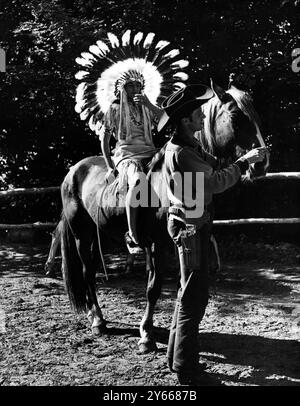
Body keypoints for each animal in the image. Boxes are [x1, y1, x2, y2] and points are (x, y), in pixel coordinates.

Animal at [59, 81, 268, 352]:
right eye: (234, 116)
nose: (261, 163)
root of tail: (73, 171)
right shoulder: (159, 243)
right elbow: (153, 288)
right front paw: (146, 334)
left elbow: (182, 284)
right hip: (81, 235)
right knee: (87, 273)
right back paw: (98, 321)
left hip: (97, 234)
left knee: (92, 271)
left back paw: (93, 314)